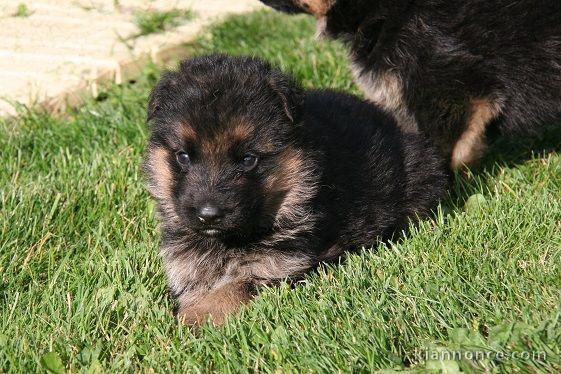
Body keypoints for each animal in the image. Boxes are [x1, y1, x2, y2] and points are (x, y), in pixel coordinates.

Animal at [143, 54, 446, 326]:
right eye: (183, 156)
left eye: (248, 159)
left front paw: (195, 317)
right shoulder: (185, 260)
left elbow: (233, 287)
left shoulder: (281, 262)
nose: (208, 215)